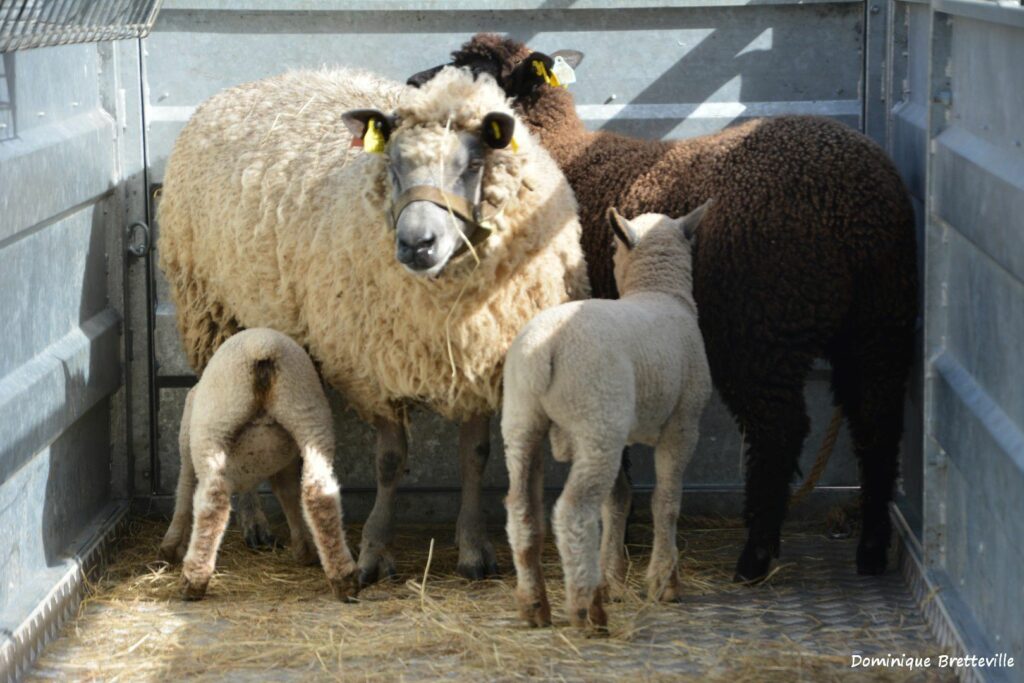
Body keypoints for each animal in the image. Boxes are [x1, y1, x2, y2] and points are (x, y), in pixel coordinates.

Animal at [157, 328, 358, 601]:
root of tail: (262, 348)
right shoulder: (285, 462)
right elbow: (288, 493)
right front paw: (304, 549)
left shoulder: (188, 444)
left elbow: (184, 492)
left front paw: (170, 547)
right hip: (309, 416)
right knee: (319, 494)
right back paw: (343, 577)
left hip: (213, 426)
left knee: (212, 502)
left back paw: (194, 581)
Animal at [410, 35, 919, 582]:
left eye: (478, 74)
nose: (413, 83)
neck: (562, 154)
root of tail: (853, 205)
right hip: (879, 321)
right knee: (877, 421)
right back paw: (871, 548)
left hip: (760, 328)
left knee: (780, 430)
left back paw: (756, 556)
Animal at [503, 202, 713, 630]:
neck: (658, 291)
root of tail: (544, 351)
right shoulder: (683, 423)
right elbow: (666, 500)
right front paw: (664, 581)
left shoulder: (623, 432)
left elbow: (617, 502)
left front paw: (613, 580)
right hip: (595, 417)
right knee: (573, 510)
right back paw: (586, 609)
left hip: (525, 420)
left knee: (520, 508)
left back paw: (534, 605)